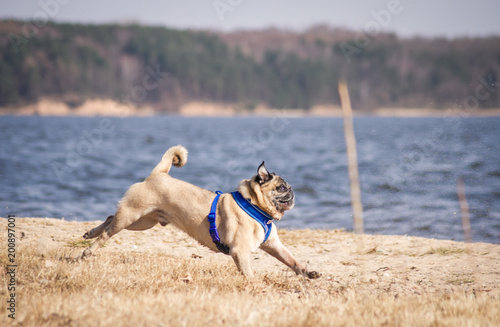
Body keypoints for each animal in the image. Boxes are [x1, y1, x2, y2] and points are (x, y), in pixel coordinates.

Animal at [79, 145, 320, 280]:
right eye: (282, 188)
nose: (293, 192)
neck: (254, 206)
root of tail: (158, 174)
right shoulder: (240, 252)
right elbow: (250, 274)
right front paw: (254, 284)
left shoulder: (274, 246)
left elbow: (292, 261)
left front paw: (308, 272)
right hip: (131, 215)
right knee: (108, 232)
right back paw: (88, 251)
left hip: (142, 222)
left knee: (109, 219)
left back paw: (90, 233)